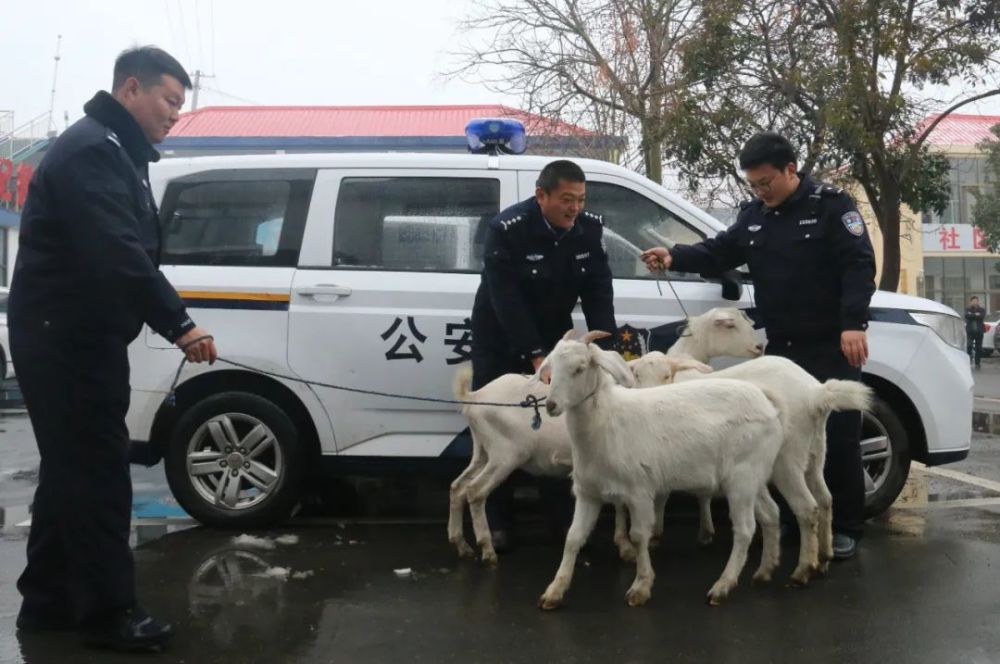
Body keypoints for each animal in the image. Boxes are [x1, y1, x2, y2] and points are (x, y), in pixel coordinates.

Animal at [540, 332, 788, 608]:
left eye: (580, 368)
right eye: (551, 367)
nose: (551, 405)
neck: (607, 421)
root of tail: (768, 403)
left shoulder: (638, 492)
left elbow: (639, 536)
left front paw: (641, 585)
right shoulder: (588, 493)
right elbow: (573, 537)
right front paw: (555, 590)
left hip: (741, 478)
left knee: (745, 529)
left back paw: (722, 586)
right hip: (755, 476)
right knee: (771, 514)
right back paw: (764, 570)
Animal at [632, 352, 876, 580]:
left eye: (666, 375)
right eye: (636, 376)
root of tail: (815, 393)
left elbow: (663, 495)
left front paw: (656, 533)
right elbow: (702, 494)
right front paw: (705, 530)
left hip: (787, 460)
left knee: (807, 508)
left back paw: (803, 569)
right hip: (815, 451)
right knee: (825, 498)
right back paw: (824, 556)